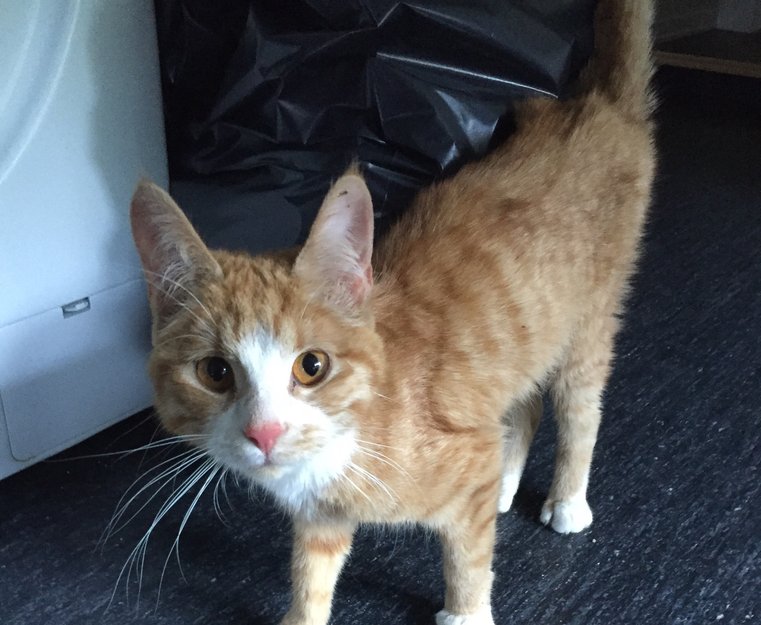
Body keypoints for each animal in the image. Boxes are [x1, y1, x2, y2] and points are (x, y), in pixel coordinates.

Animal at [129, 1, 655, 623]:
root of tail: (591, 106)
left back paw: (567, 500)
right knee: (521, 402)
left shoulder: (460, 467)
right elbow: (311, 577)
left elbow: (468, 559)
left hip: (590, 320)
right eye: (214, 372)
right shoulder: (322, 519)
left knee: (579, 408)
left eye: (312, 366)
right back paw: (505, 479)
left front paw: (466, 612)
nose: (265, 432)